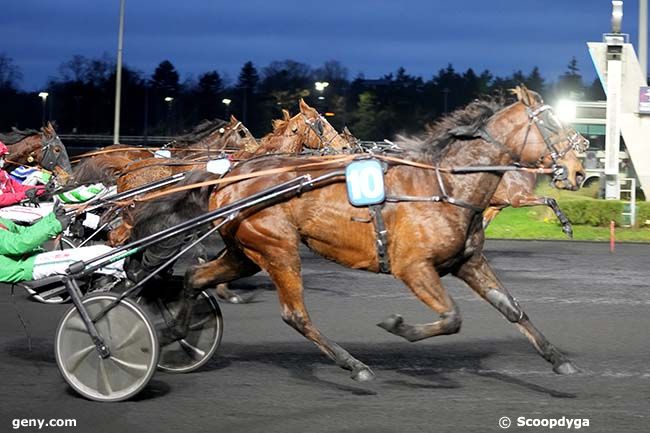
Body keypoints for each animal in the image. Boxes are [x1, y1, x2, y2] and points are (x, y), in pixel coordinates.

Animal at [165, 87, 580, 378]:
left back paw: (179, 333)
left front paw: (558, 359)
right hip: (278, 248)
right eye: (552, 125)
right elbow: (452, 317)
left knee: (195, 275)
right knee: (295, 314)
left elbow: (513, 309)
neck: (444, 186)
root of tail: (229, 177)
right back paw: (354, 365)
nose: (577, 169)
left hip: (246, 252)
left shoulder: (469, 262)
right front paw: (398, 326)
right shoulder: (413, 268)